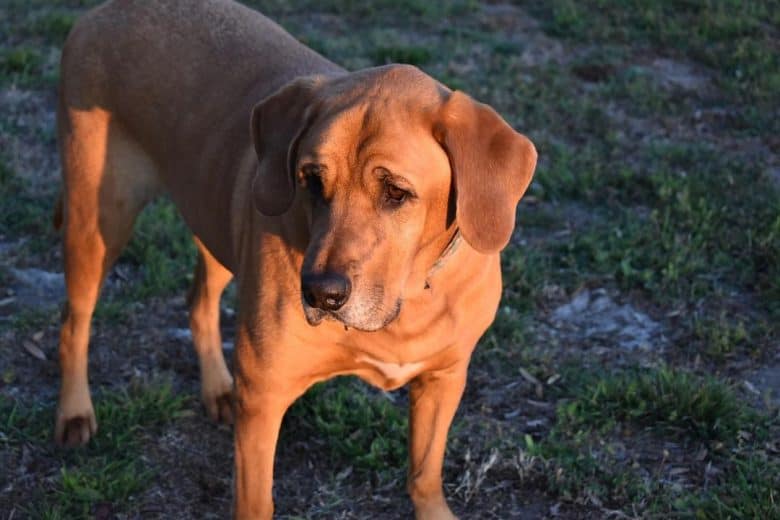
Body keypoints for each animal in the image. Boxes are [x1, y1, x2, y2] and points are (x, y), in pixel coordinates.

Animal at [53, 1, 536, 516]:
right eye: (311, 180)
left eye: (396, 193)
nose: (321, 294)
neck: (406, 306)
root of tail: (106, 11)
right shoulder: (264, 396)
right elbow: (255, 500)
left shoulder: (444, 380)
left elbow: (424, 474)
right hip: (99, 220)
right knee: (73, 322)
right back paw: (74, 412)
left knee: (198, 301)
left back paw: (215, 386)